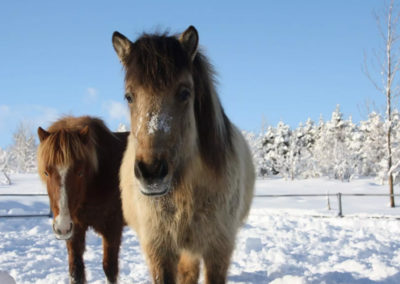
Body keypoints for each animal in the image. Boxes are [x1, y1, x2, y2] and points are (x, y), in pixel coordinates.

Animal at [36, 116, 128, 284]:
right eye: (46, 172)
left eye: (80, 172)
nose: (62, 227)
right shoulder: (75, 230)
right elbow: (76, 271)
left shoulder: (113, 229)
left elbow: (110, 269)